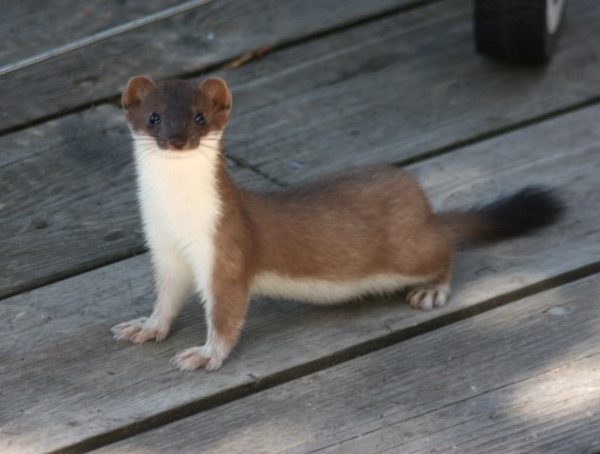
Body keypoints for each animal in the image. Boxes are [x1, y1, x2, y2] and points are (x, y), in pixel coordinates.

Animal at [111, 76, 564, 370]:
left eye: (200, 118)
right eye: (153, 117)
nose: (177, 139)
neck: (177, 217)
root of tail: (423, 204)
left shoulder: (226, 248)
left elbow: (225, 314)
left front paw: (204, 354)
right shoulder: (163, 250)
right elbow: (167, 298)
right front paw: (145, 327)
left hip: (410, 249)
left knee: (445, 247)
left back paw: (431, 291)